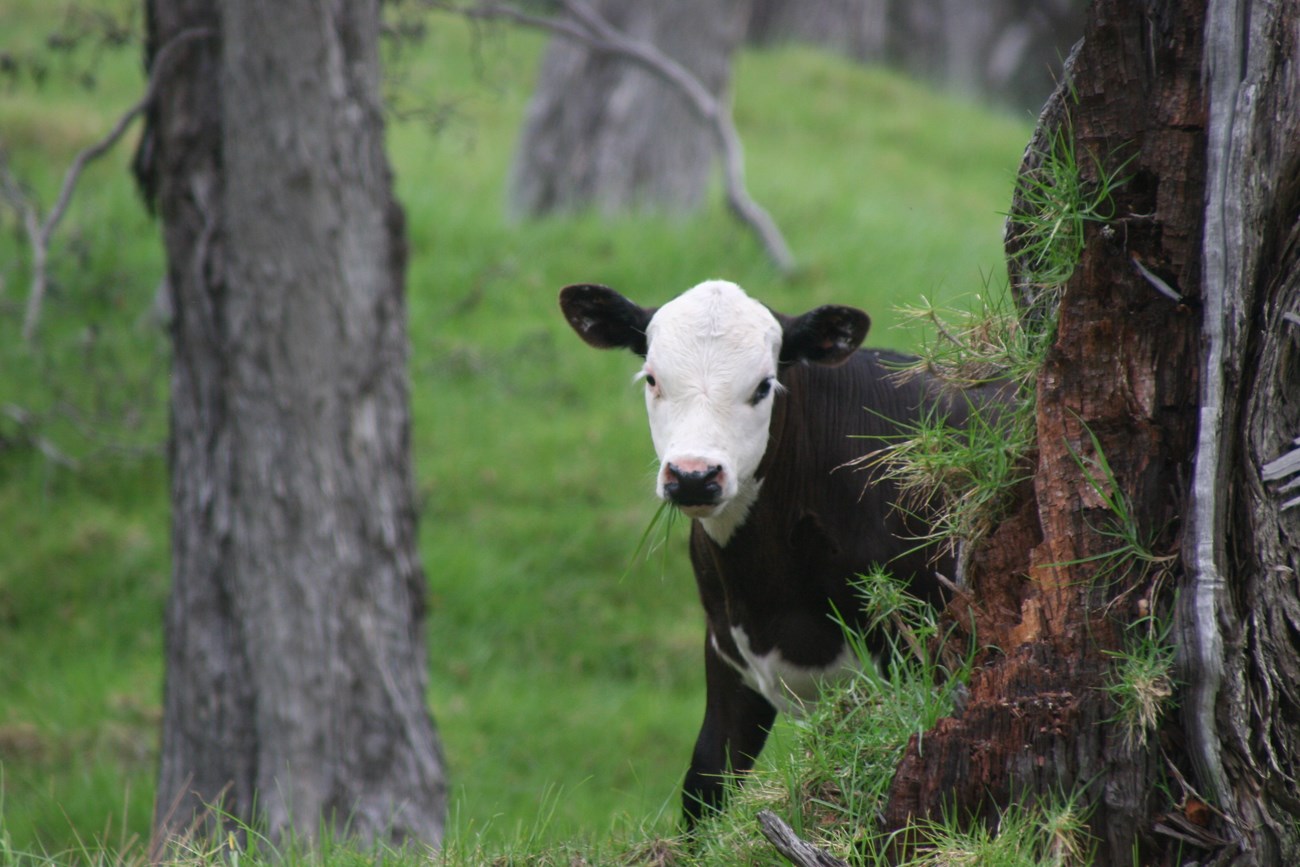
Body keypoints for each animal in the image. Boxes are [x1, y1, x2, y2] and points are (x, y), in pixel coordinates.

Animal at [559, 278, 967, 826]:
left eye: (763, 386)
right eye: (652, 379)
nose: (693, 475)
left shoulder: (920, 651)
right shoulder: (727, 651)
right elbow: (705, 781)